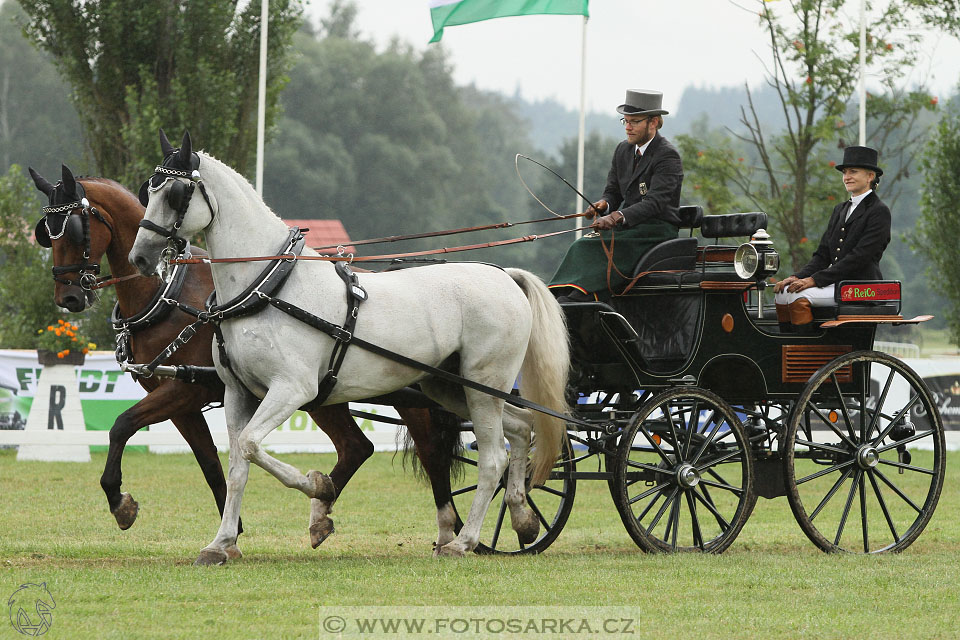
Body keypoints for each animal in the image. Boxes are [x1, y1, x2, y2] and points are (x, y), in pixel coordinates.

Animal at [31, 165, 460, 552]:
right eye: (45, 233)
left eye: (73, 229)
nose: (69, 296)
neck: (168, 295)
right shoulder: (183, 400)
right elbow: (210, 463)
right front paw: (229, 529)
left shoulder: (187, 390)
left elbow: (121, 425)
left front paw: (121, 503)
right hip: (326, 394)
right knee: (358, 447)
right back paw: (323, 510)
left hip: (406, 398)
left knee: (431, 453)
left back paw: (449, 530)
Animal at [127, 131, 568, 564]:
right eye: (147, 189)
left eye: (176, 194)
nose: (140, 257)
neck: (268, 286)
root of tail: (505, 277)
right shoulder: (238, 393)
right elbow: (238, 464)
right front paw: (221, 543)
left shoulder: (292, 389)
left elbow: (252, 445)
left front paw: (318, 485)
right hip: (449, 388)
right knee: (521, 429)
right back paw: (522, 517)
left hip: (483, 385)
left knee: (492, 458)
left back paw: (464, 541)